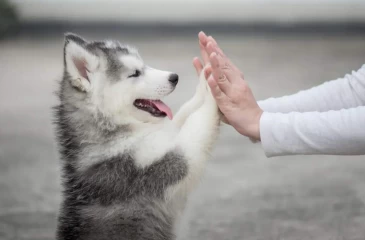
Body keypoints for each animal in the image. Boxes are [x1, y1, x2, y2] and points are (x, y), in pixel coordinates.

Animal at [53, 32, 219, 239]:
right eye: (135, 73)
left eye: (143, 65)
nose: (174, 77)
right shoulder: (169, 163)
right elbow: (198, 122)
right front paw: (214, 85)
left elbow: (185, 113)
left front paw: (205, 80)